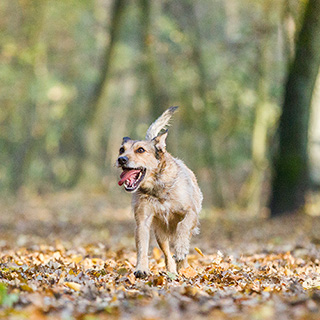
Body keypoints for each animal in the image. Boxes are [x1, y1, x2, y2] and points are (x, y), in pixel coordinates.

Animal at [117, 107, 202, 278]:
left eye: (140, 150)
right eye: (121, 149)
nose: (121, 159)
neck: (157, 189)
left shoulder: (191, 212)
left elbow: (183, 226)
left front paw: (181, 250)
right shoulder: (142, 221)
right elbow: (142, 247)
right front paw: (141, 268)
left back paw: (183, 263)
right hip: (160, 233)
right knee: (167, 253)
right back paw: (172, 270)